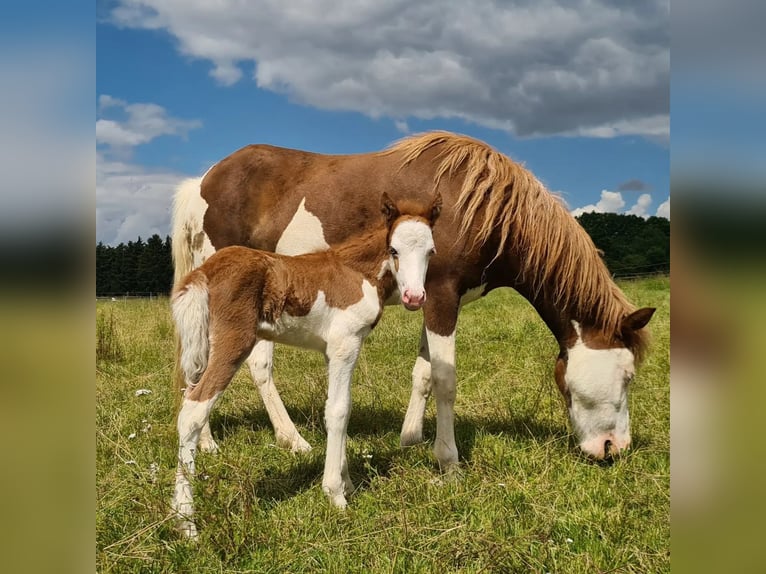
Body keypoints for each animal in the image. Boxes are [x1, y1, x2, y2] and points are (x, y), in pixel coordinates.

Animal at [171, 194, 440, 540]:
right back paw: (187, 524)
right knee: (193, 410)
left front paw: (347, 483)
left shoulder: (331, 351)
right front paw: (336, 495)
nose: (414, 297)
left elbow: (340, 408)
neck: (357, 272)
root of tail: (205, 271)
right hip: (233, 342)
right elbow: (338, 411)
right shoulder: (345, 344)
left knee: (188, 398)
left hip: (202, 345)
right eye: (394, 249)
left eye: (430, 251)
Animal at [172, 132, 656, 472]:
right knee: (243, 367)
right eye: (628, 376)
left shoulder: (427, 297)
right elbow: (445, 379)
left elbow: (423, 373)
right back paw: (279, 440)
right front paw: (448, 459)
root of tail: (203, 181)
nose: (615, 449)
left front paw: (410, 439)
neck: (482, 207)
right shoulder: (442, 297)